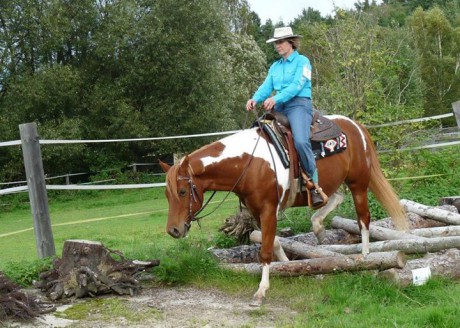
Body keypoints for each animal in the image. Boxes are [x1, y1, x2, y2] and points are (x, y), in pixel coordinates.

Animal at [159, 114, 410, 306]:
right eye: (167, 195)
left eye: (183, 191)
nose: (174, 230)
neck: (250, 162)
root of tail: (356, 126)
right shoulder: (257, 212)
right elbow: (275, 242)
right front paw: (293, 267)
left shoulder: (269, 209)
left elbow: (265, 250)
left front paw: (261, 291)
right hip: (333, 184)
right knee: (335, 198)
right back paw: (319, 228)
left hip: (359, 183)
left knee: (363, 219)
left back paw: (366, 258)